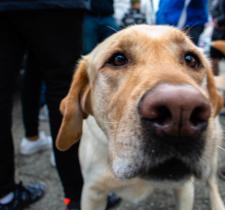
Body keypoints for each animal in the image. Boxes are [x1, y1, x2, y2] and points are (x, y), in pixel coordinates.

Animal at [56, 25, 225, 210]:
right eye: (118, 59)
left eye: (191, 59)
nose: (181, 108)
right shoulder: (93, 192)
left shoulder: (185, 188)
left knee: (212, 182)